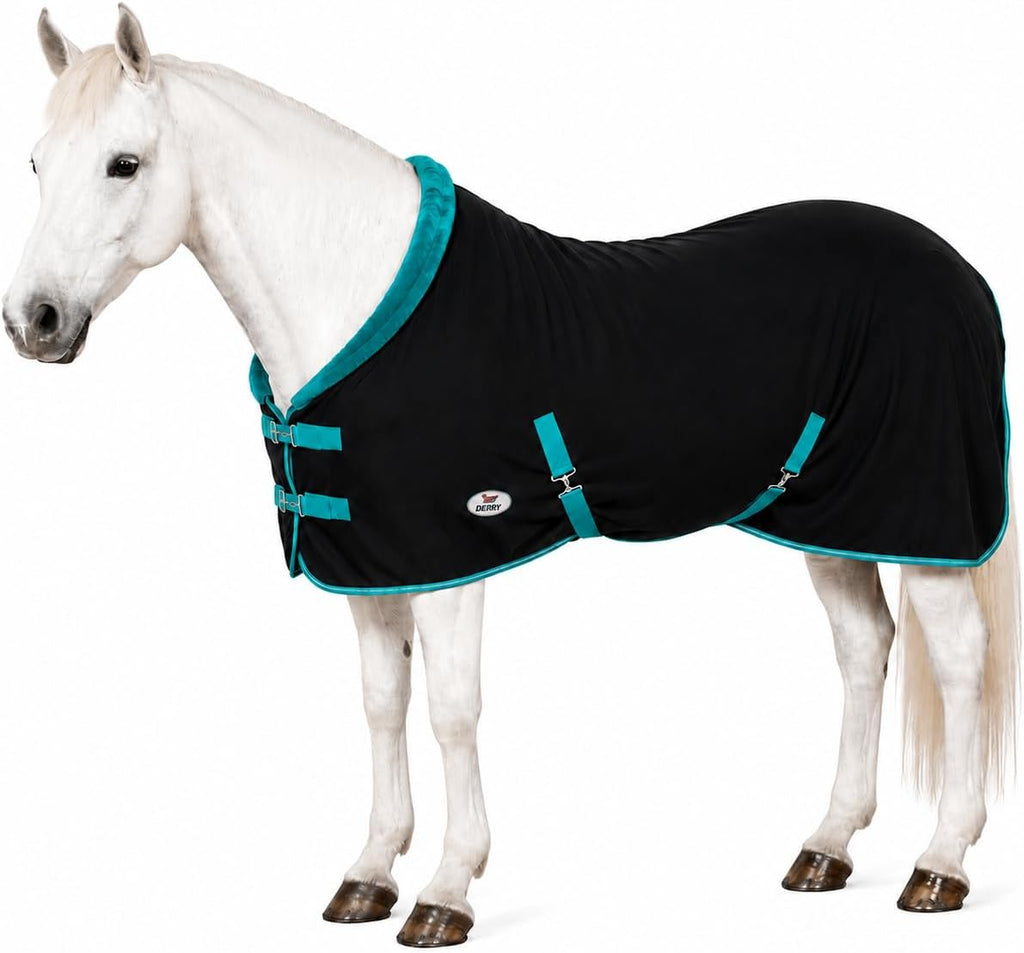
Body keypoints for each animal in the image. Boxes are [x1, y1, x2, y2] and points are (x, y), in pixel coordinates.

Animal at [3, 7, 1018, 947]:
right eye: (39, 163)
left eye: (124, 163)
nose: (34, 322)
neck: (357, 294)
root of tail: (960, 273)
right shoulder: (374, 563)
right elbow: (382, 705)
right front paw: (370, 873)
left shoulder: (452, 557)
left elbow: (453, 712)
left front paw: (448, 888)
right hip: (831, 515)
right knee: (863, 648)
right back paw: (827, 846)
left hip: (920, 518)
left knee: (959, 660)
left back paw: (940, 864)